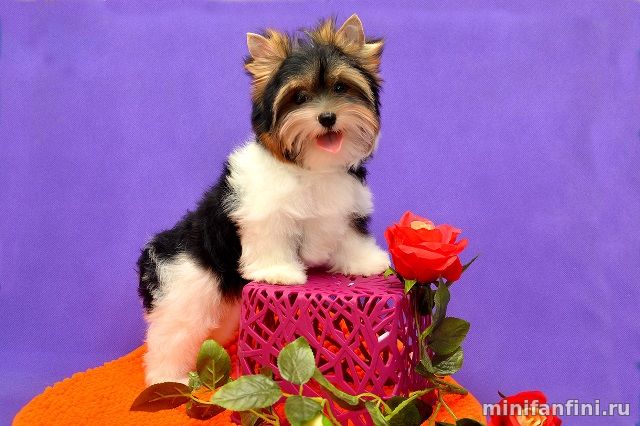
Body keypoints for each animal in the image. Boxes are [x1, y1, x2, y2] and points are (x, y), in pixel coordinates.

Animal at [137, 14, 389, 385]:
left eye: (341, 89)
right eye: (299, 97)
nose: (327, 117)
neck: (313, 166)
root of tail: (159, 249)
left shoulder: (345, 207)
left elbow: (349, 236)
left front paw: (366, 262)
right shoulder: (265, 213)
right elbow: (271, 240)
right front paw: (279, 273)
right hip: (186, 290)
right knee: (172, 336)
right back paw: (168, 378)